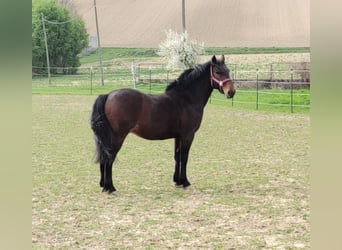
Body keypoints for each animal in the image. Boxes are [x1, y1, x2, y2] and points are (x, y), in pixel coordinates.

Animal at [91, 55, 235, 193]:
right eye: (217, 72)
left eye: (228, 71)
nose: (231, 92)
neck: (186, 99)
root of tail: (108, 95)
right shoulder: (188, 135)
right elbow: (184, 157)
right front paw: (185, 182)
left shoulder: (178, 136)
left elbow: (177, 157)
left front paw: (177, 181)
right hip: (118, 137)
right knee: (109, 158)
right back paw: (110, 188)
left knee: (104, 158)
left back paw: (103, 185)